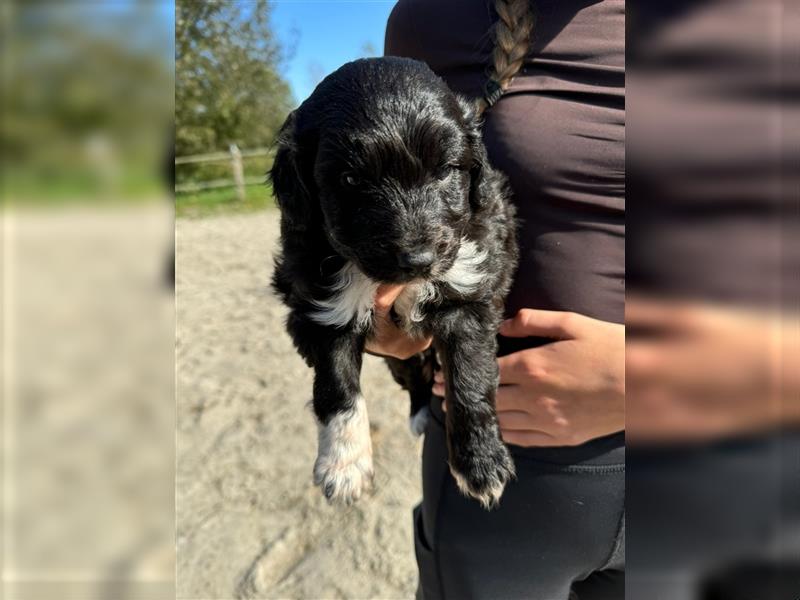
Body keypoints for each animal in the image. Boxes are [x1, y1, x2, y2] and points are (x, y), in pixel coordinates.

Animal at [268, 56, 520, 508]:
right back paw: (418, 414)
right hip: (400, 360)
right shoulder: (322, 309)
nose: (418, 260)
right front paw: (344, 466)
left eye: (445, 170)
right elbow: (337, 389)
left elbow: (470, 380)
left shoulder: (470, 296)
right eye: (351, 180)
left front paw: (481, 462)